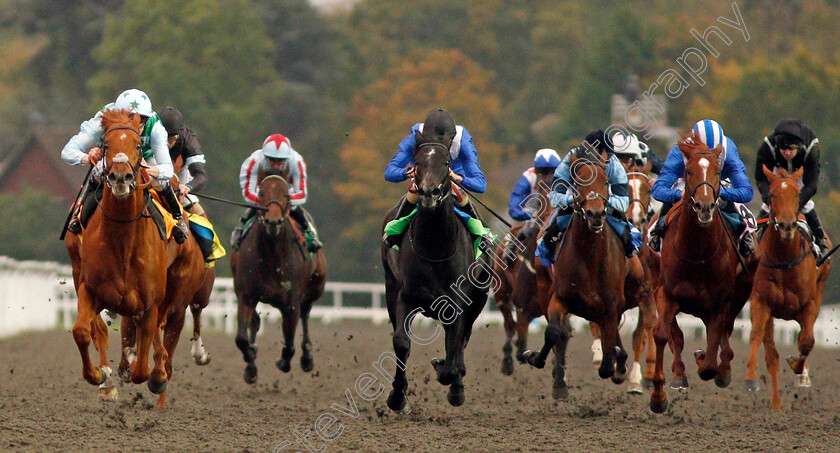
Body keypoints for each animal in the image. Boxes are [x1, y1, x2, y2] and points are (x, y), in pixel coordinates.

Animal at [231, 168, 326, 384]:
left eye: (286, 195)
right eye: (261, 193)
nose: (272, 222)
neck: (272, 255)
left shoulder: (291, 301)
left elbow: (289, 342)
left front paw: (284, 361)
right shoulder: (246, 295)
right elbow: (241, 338)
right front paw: (251, 357)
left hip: (315, 286)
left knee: (306, 314)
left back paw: (307, 357)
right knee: (255, 322)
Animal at [378, 128, 488, 414]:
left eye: (447, 163)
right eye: (417, 163)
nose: (428, 192)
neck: (435, 248)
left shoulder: (457, 303)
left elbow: (453, 349)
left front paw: (450, 379)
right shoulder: (405, 296)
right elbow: (401, 343)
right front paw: (397, 397)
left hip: (479, 297)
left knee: (462, 340)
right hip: (389, 288)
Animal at [524, 150, 632, 398]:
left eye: (606, 181)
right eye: (577, 183)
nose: (595, 214)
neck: (590, 258)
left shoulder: (611, 304)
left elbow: (607, 359)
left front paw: (616, 364)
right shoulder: (559, 298)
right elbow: (554, 332)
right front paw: (534, 358)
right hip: (544, 288)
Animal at [648, 131, 756, 414]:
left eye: (718, 170)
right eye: (687, 170)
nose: (705, 206)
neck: (696, 252)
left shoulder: (720, 302)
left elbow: (709, 363)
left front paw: (709, 363)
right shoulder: (666, 293)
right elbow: (664, 334)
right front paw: (659, 396)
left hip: (741, 291)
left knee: (725, 332)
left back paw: (722, 367)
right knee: (677, 336)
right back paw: (680, 373)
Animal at [744, 166, 832, 410]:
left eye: (796, 194)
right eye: (773, 195)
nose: (786, 225)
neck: (784, 259)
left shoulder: (809, 304)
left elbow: (807, 341)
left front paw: (798, 369)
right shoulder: (761, 301)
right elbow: (758, 339)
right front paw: (751, 377)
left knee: (804, 337)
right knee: (771, 353)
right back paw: (776, 403)